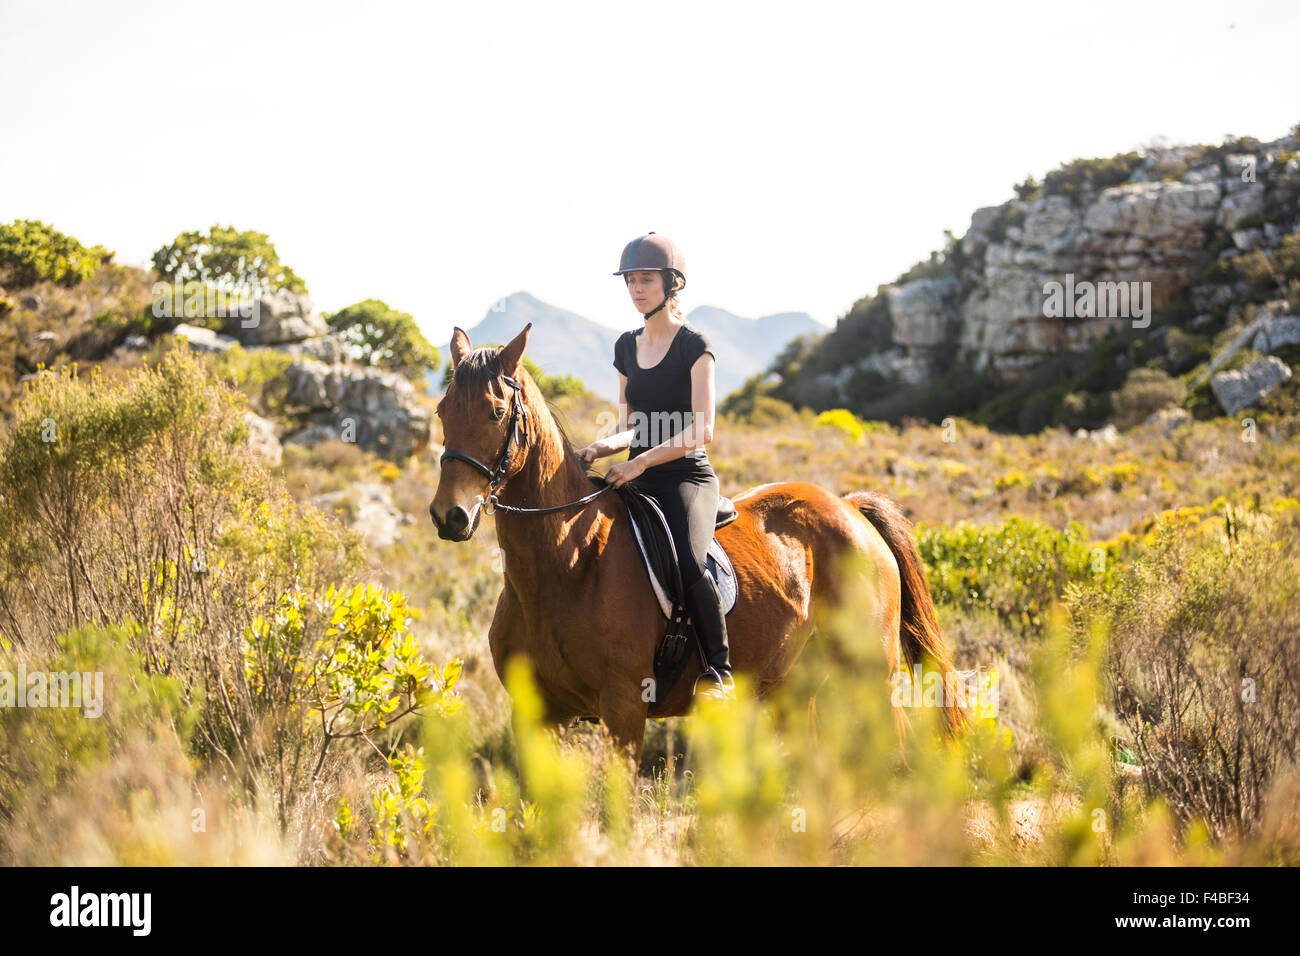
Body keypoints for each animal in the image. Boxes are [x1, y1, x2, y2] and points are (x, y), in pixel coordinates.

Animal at [428, 322, 967, 768]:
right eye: (442, 410)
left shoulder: (624, 710)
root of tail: (850, 508)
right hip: (793, 687)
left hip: (873, 674)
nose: (449, 515)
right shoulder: (536, 718)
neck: (567, 564)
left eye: (497, 412)